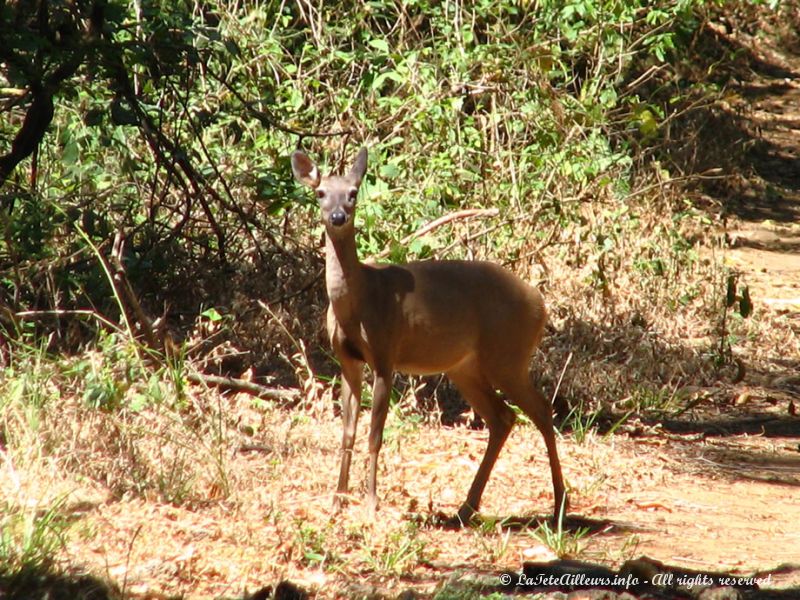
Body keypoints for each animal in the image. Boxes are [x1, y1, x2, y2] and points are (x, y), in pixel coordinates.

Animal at [290, 146, 564, 524]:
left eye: (353, 193)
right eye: (320, 193)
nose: (337, 216)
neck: (358, 303)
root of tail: (540, 303)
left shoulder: (385, 354)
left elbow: (375, 434)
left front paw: (371, 504)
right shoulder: (347, 360)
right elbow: (347, 431)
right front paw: (337, 502)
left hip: (508, 354)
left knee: (540, 410)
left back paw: (560, 505)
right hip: (465, 367)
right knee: (503, 417)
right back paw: (466, 508)